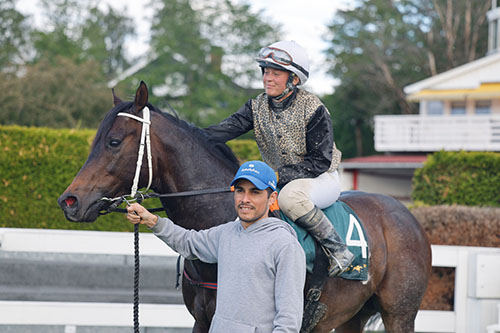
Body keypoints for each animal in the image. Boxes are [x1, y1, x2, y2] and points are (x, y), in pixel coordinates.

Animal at [58, 81, 432, 332]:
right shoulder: (203, 321)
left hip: (399, 313)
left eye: (113, 142)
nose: (69, 200)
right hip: (353, 316)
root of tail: (407, 216)